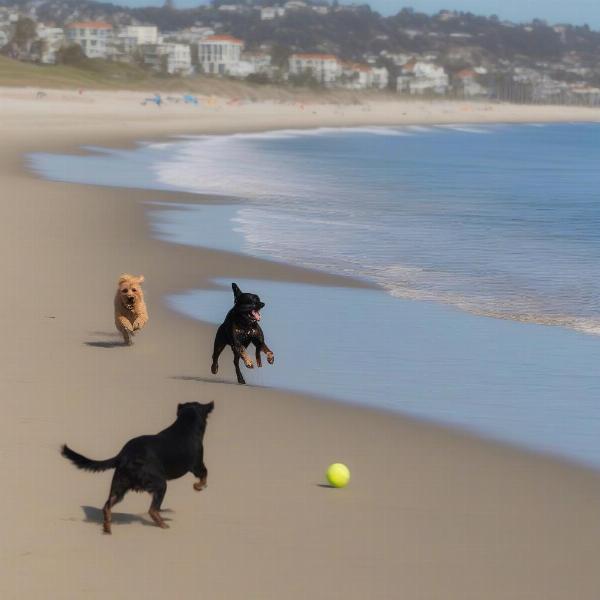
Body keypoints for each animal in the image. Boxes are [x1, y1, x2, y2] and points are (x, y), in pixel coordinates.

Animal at [60, 400, 213, 532]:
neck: (186, 424)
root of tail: (124, 455)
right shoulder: (197, 465)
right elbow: (205, 474)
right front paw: (198, 486)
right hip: (159, 483)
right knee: (152, 510)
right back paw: (163, 525)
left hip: (119, 485)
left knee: (107, 506)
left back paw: (107, 529)